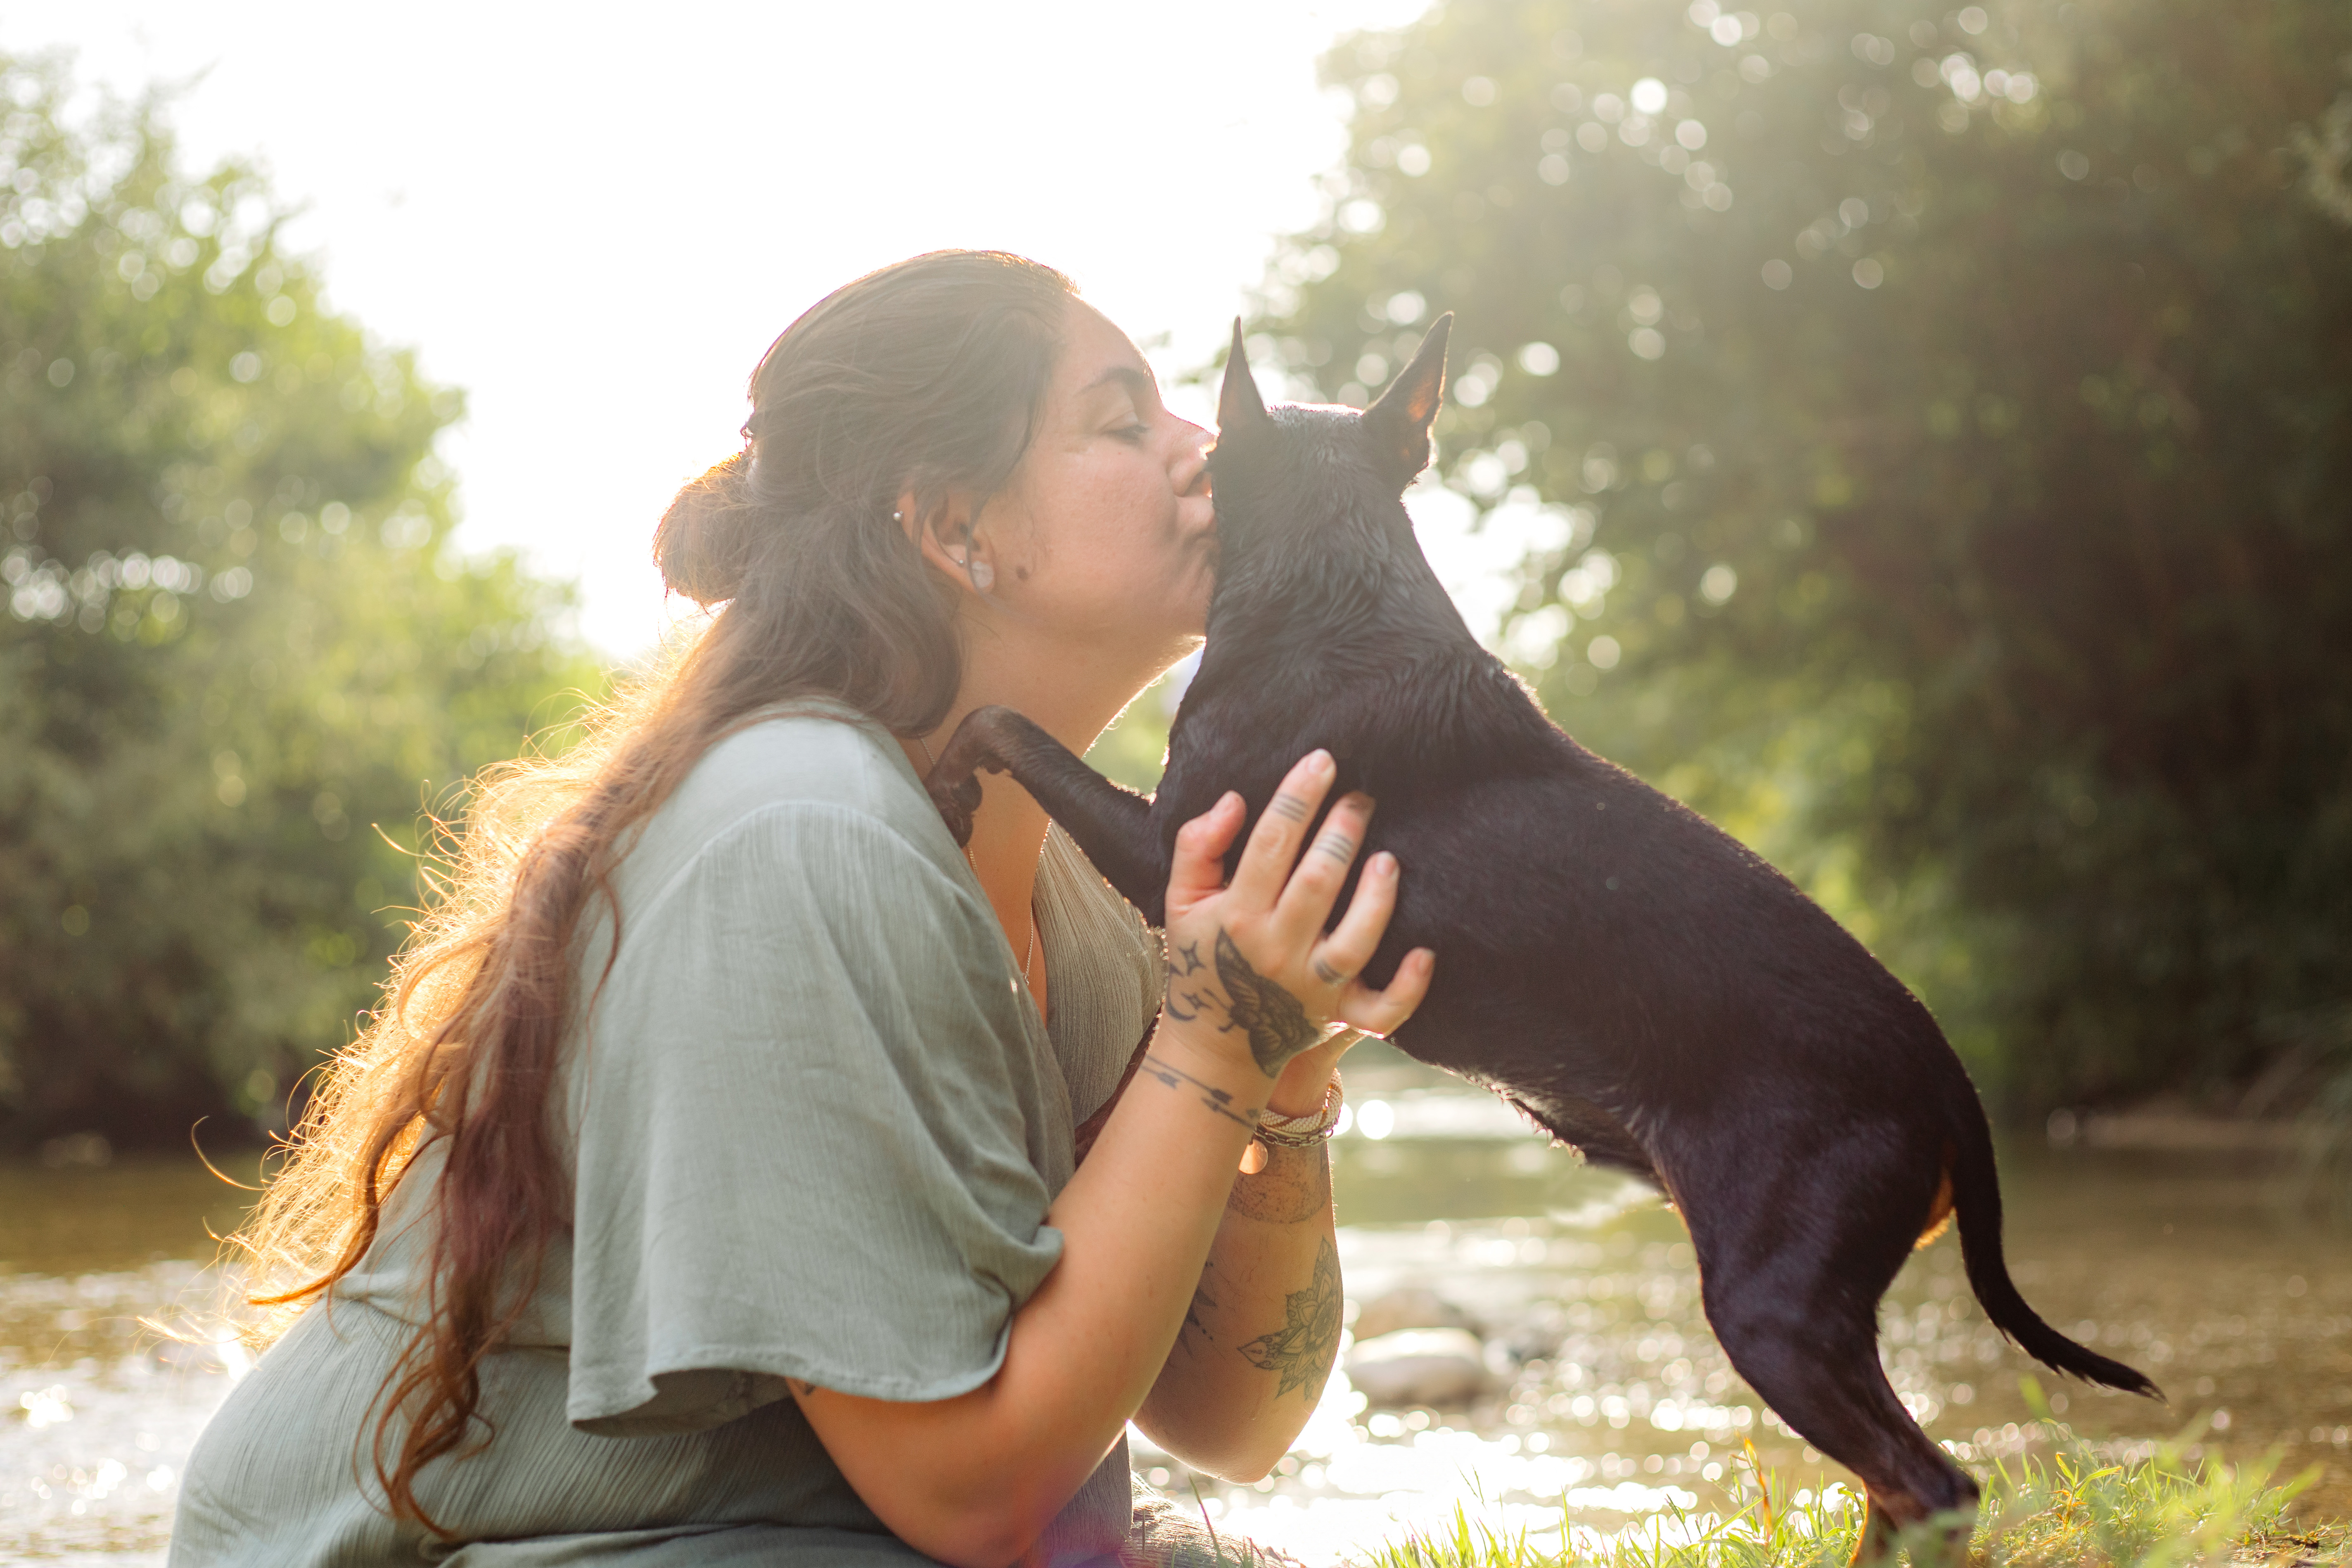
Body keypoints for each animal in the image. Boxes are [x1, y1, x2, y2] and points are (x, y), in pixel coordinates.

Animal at [927, 315, 2154, 1542]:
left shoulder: (1171, 852)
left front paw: (947, 768)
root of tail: (1948, 1075)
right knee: (1902, 1486)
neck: (1336, 581)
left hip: (1774, 1301)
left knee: (1931, 1481)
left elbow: (1007, 723)